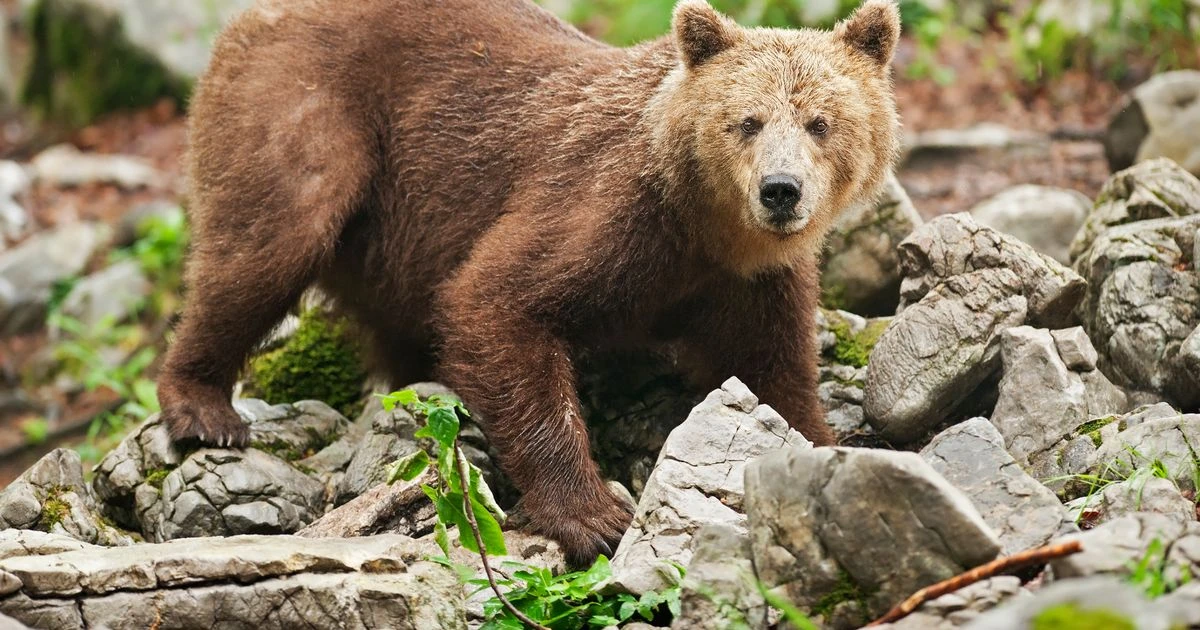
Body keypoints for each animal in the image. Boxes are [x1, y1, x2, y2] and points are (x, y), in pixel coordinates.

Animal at [159, 0, 901, 564]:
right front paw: (592, 514)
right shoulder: (608, 213)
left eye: (821, 122)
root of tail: (258, 14)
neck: (708, 229)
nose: (781, 190)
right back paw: (204, 408)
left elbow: (773, 373)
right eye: (746, 120)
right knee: (268, 243)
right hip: (306, 110)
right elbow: (497, 304)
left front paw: (828, 447)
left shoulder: (751, 281)